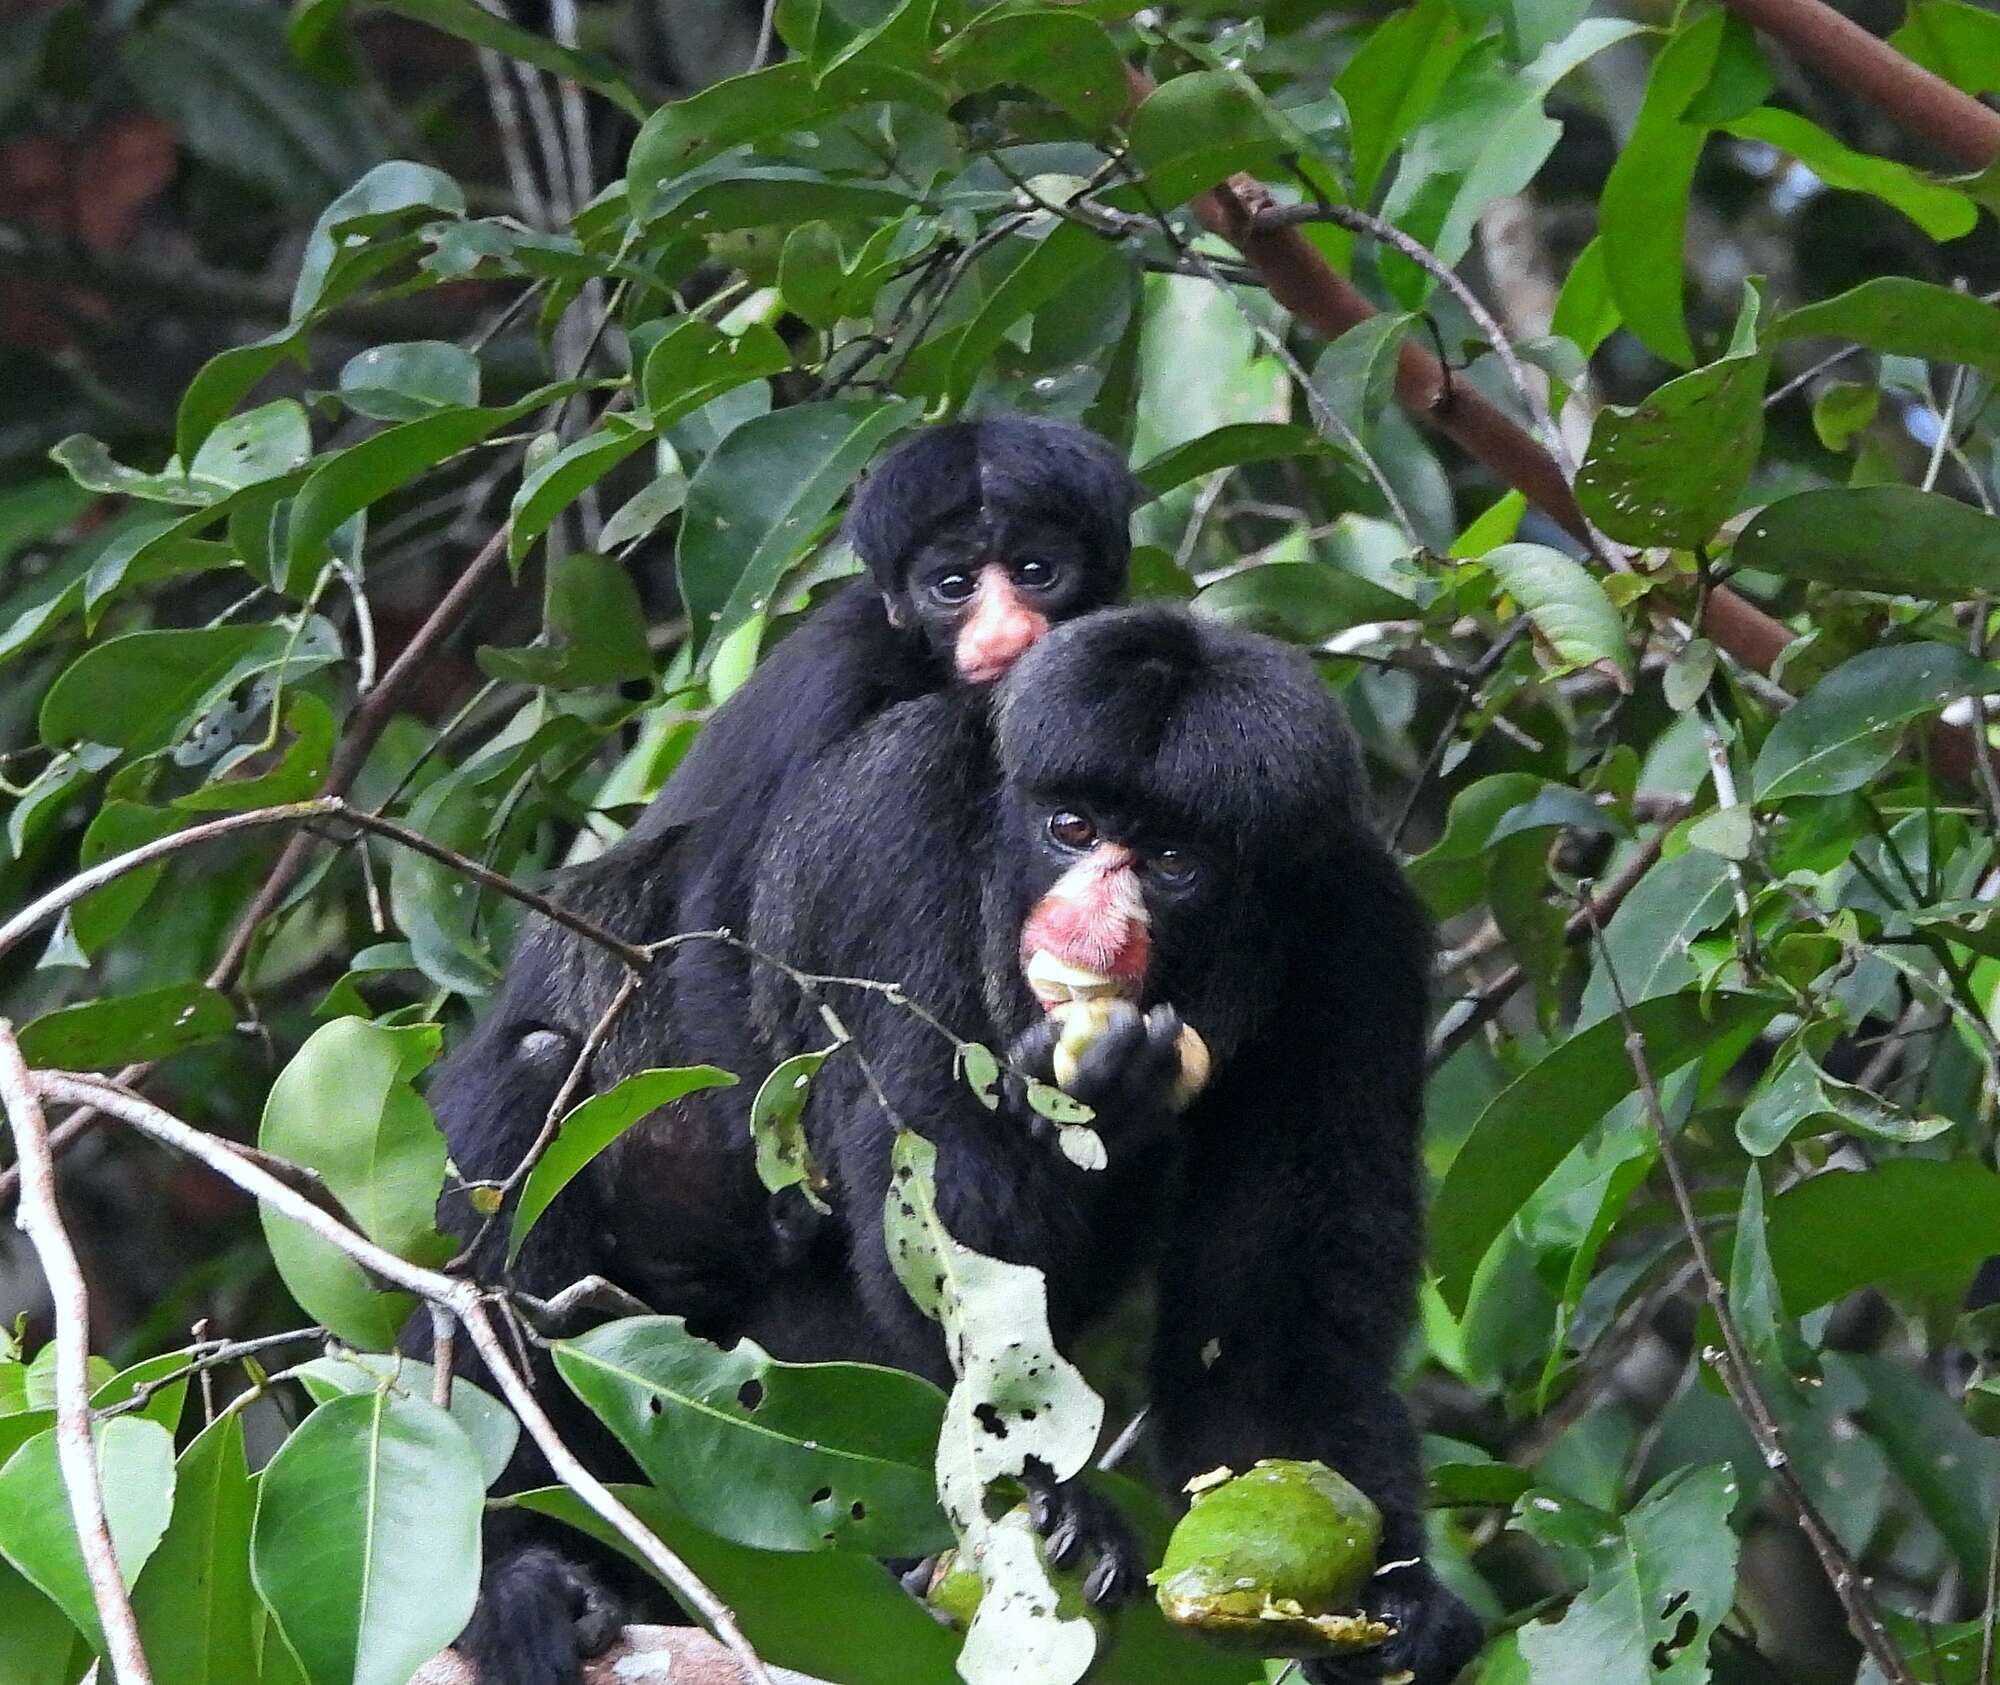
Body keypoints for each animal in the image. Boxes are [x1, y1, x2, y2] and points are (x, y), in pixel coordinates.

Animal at [740, 608, 1488, 1680]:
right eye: (1074, 830)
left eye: (1173, 863)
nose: (1090, 920)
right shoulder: (895, 841)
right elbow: (950, 1262)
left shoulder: (1356, 933)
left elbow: (1264, 1334)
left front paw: (1395, 1602)